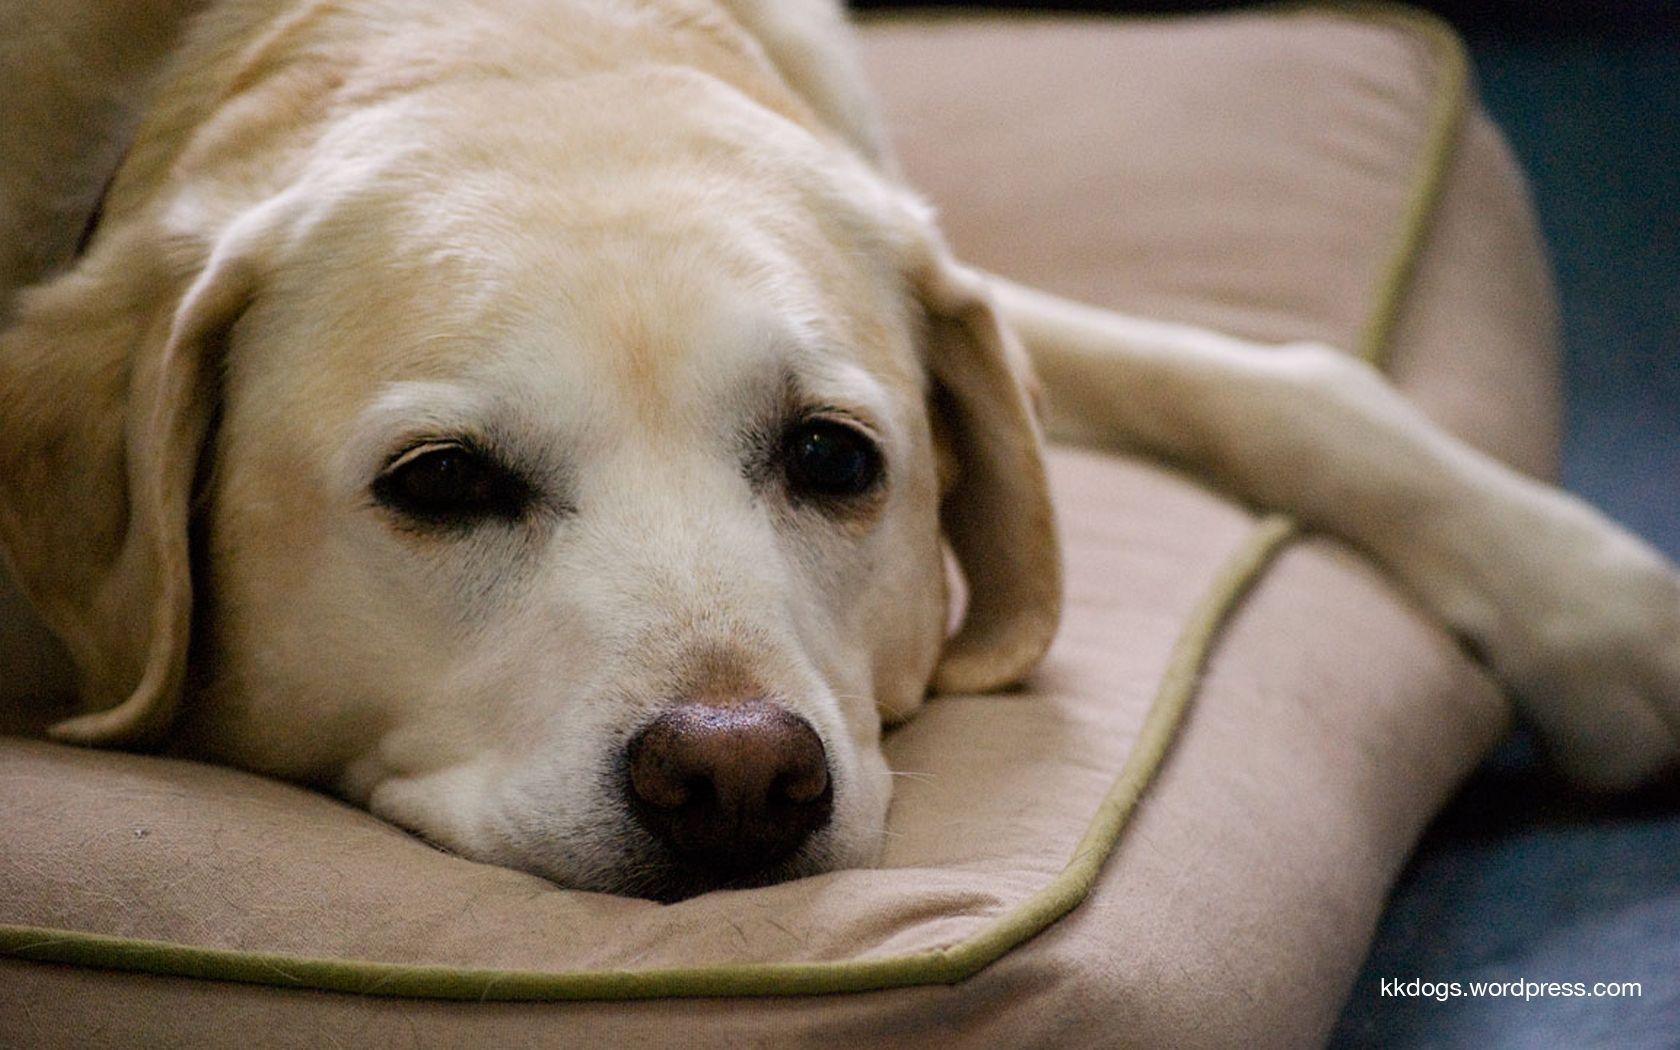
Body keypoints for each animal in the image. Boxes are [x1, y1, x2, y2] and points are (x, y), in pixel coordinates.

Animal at [0, 0, 1673, 900]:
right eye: (444, 483)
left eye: (834, 458)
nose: (738, 778)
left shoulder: (949, 263)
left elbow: (1276, 378)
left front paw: (1595, 605)